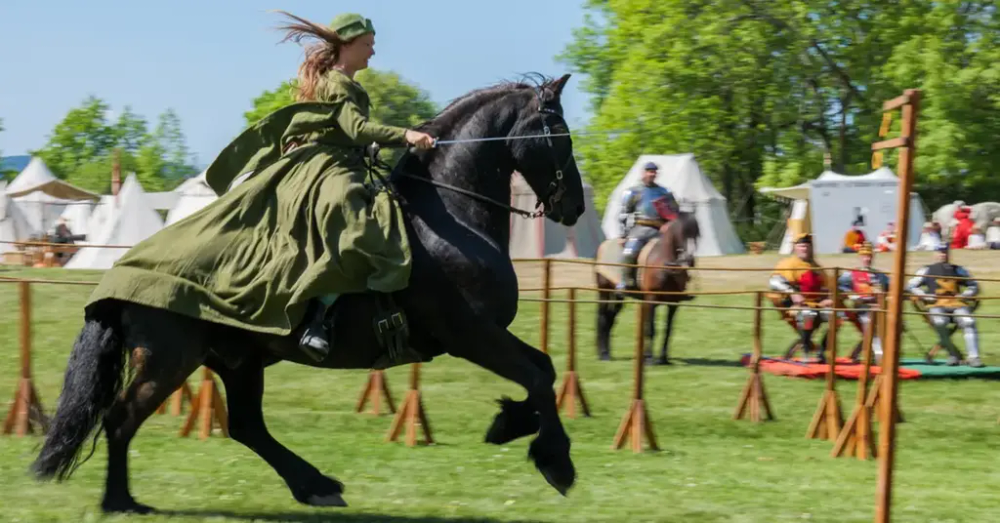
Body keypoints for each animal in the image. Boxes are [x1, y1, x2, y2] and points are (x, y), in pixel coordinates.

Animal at [31, 71, 584, 512]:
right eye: (559, 133)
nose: (574, 206)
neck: (446, 218)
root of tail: (117, 278)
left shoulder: (481, 336)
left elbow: (545, 369)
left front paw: (509, 424)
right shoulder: (470, 335)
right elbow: (538, 376)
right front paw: (555, 462)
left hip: (237, 360)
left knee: (245, 426)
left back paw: (314, 485)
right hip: (171, 360)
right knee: (122, 418)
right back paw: (121, 501)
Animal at [596, 213, 700, 364]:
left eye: (697, 234)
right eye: (683, 232)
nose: (690, 259)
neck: (665, 263)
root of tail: (603, 246)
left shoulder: (673, 303)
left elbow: (668, 329)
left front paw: (663, 358)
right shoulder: (651, 299)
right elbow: (650, 328)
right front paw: (650, 358)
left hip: (618, 296)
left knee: (611, 317)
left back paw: (607, 352)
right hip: (603, 291)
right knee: (603, 317)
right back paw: (603, 354)